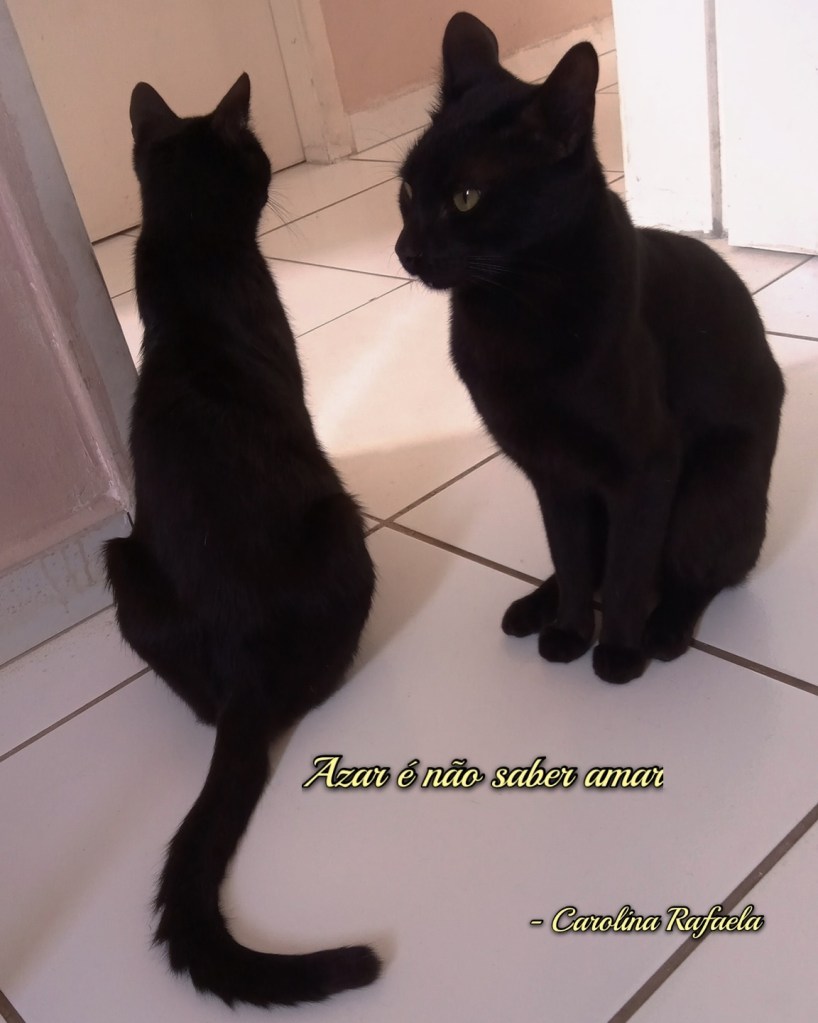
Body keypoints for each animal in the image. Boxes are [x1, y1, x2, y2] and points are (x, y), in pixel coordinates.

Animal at [104, 74, 379, 1007]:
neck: (190, 252)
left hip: (120, 557)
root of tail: (242, 670)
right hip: (343, 519)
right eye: (255, 152)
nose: (264, 164)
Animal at [396, 13, 784, 685]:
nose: (404, 250)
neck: (514, 313)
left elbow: (628, 574)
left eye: (467, 197)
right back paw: (534, 606)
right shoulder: (553, 473)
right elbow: (575, 562)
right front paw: (570, 633)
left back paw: (665, 630)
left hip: (710, 492)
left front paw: (619, 652)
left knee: (703, 571)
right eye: (408, 192)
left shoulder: (645, 468)